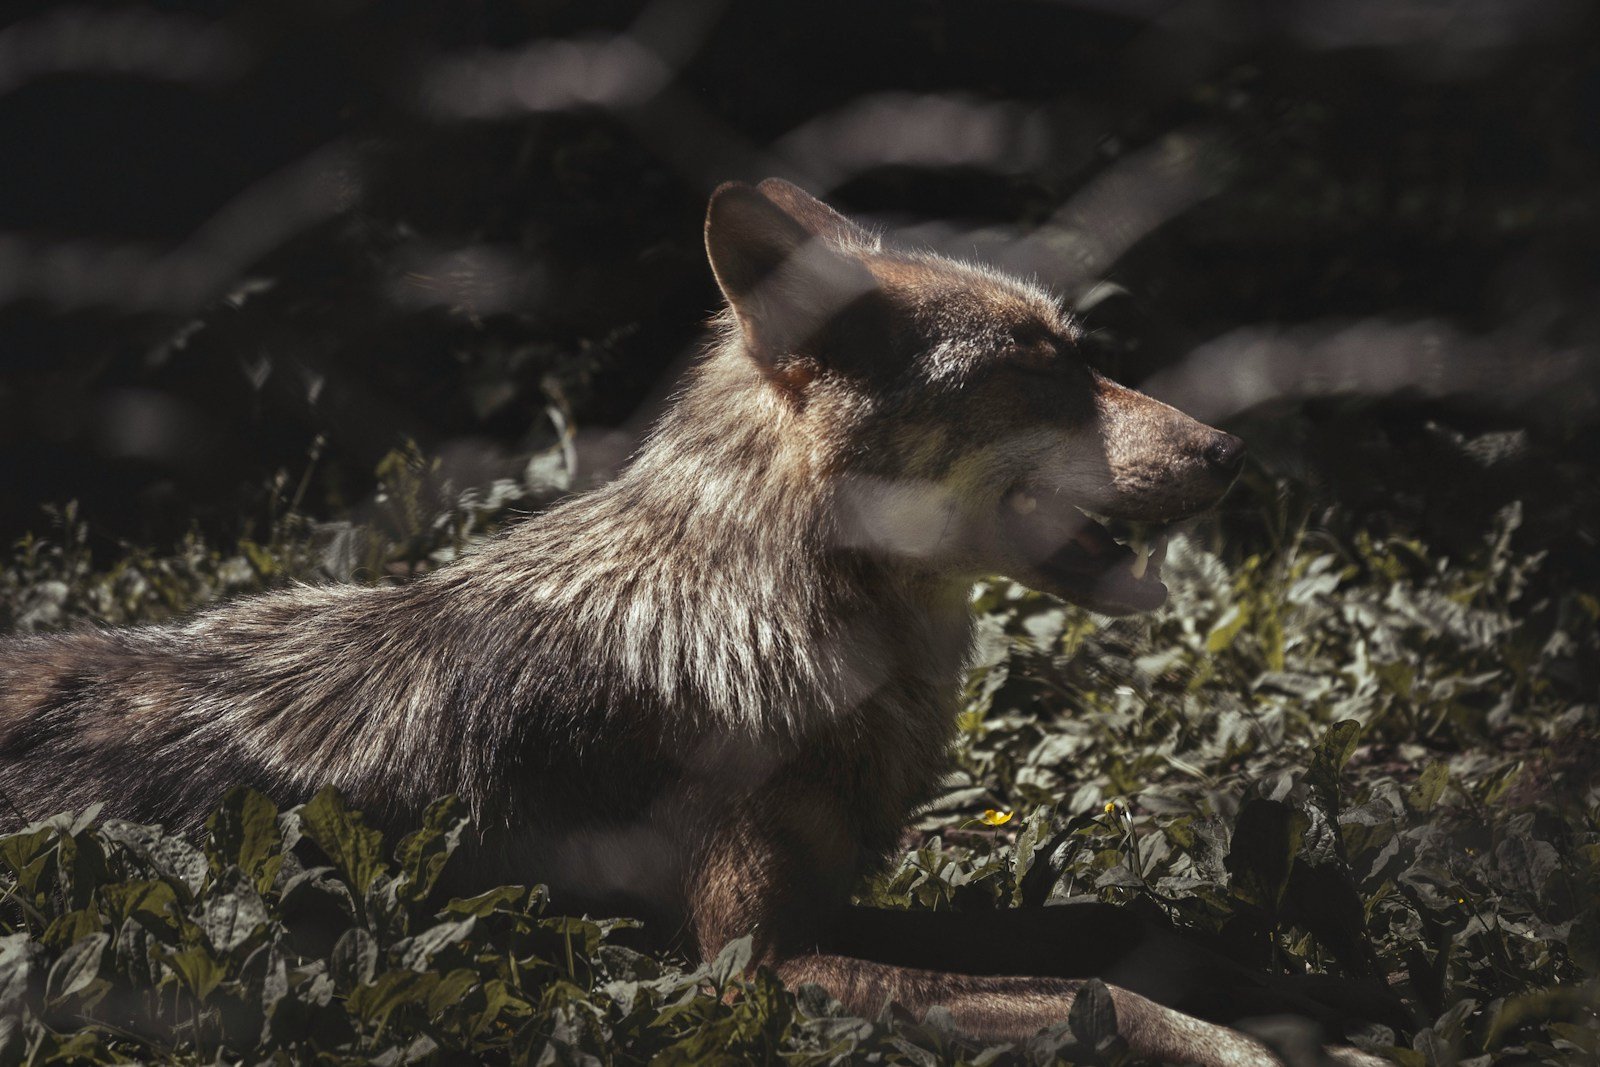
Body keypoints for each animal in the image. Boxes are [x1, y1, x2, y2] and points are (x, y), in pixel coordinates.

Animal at [0, 180, 1387, 1064]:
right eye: (1036, 368)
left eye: (1081, 353)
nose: (1235, 450)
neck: (764, 622)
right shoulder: (752, 965)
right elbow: (1101, 993)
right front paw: (1288, 1049)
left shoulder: (826, 909)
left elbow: (1114, 929)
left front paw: (1319, 995)